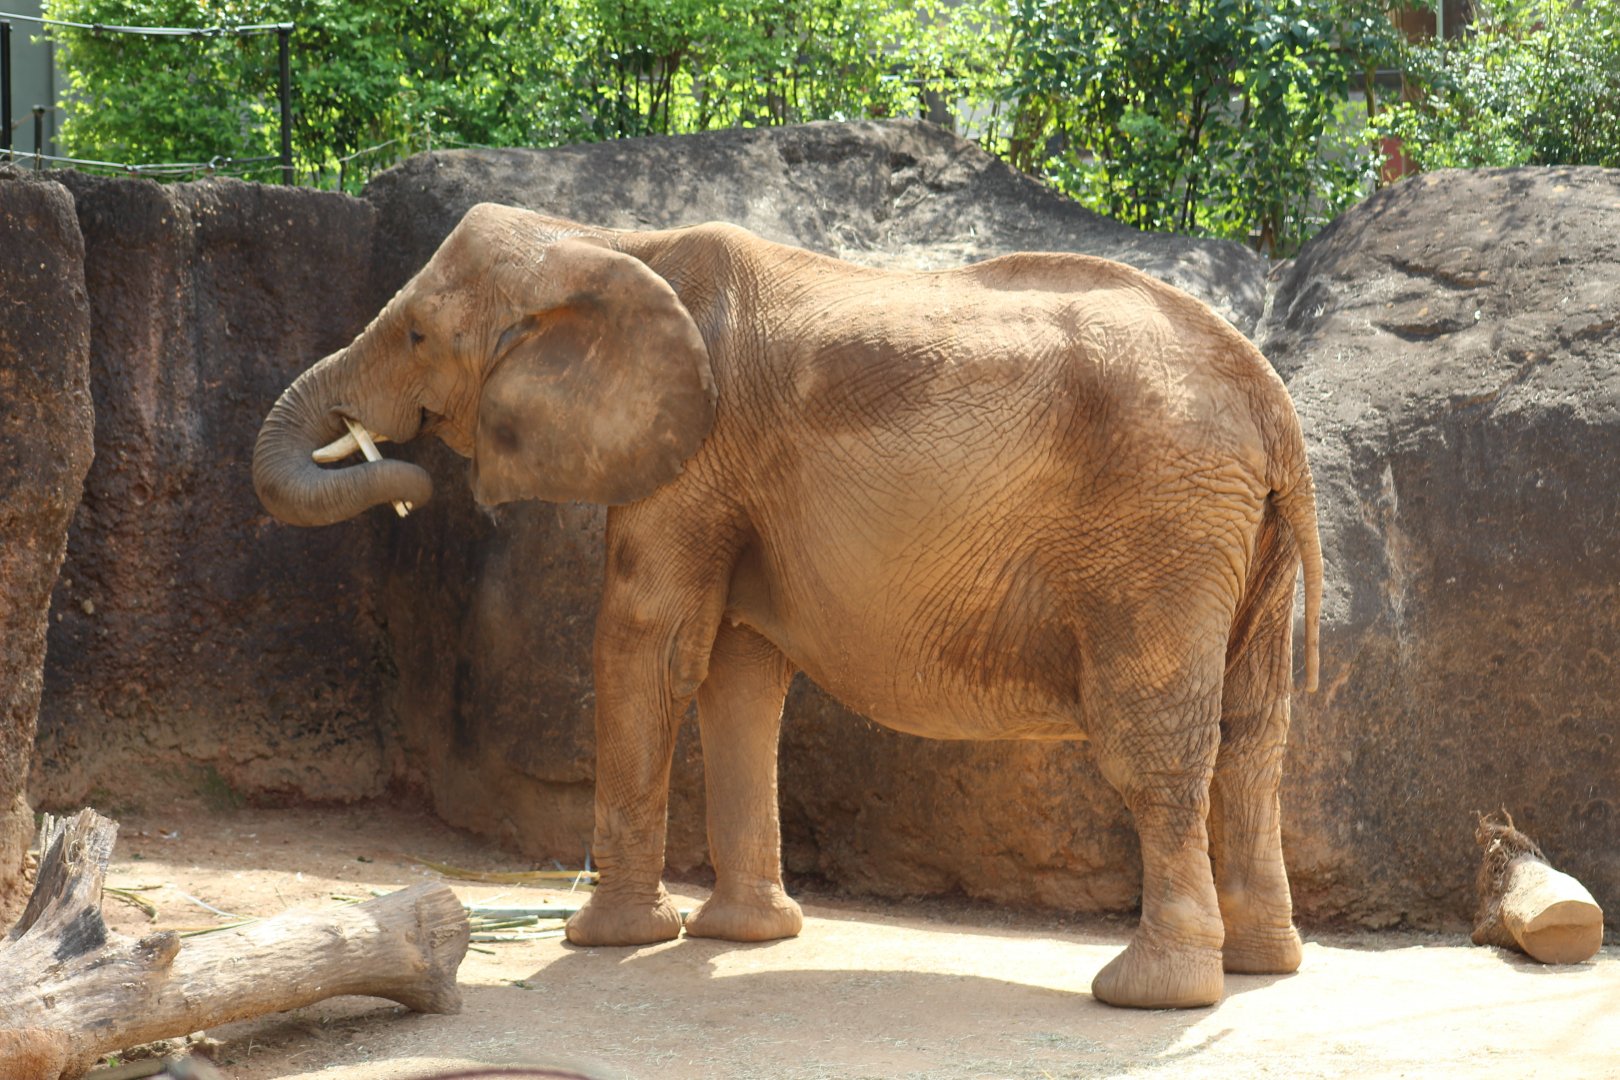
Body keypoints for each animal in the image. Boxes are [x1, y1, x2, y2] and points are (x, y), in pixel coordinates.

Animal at [253, 202, 1324, 1010]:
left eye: (418, 335)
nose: (406, 478)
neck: (607, 241)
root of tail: (1270, 398)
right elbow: (735, 672)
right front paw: (745, 935)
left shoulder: (695, 451)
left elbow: (647, 645)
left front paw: (606, 939)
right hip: (1240, 537)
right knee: (1257, 734)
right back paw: (1261, 966)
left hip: (1158, 526)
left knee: (1153, 739)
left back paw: (1152, 994)